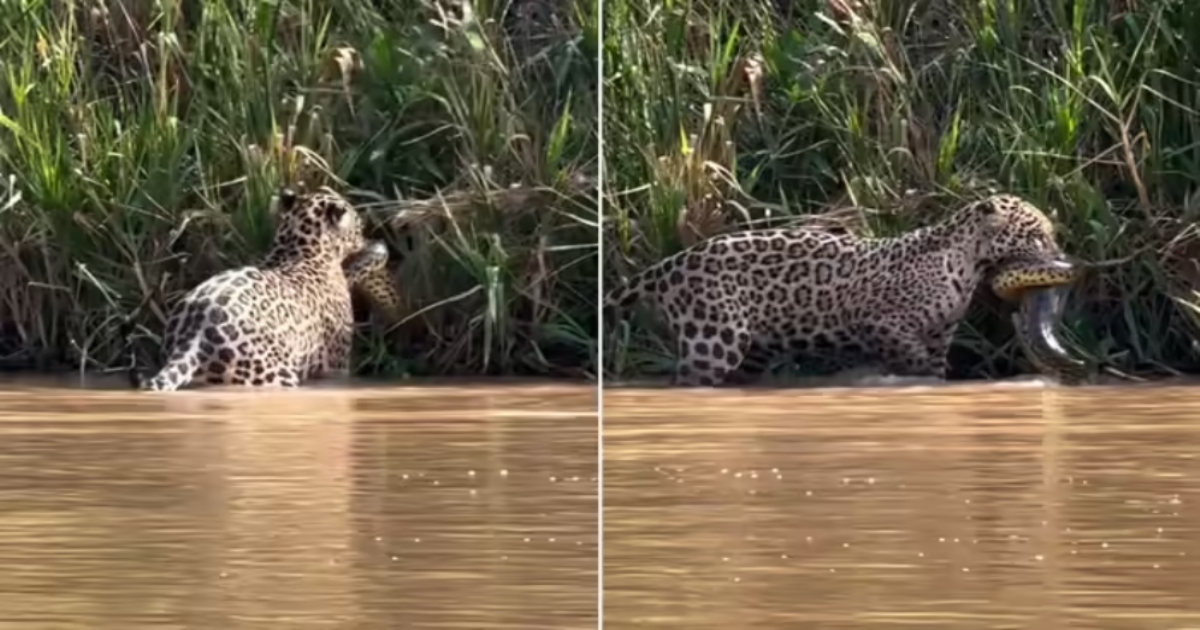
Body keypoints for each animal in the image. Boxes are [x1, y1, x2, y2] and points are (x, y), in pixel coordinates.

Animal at [126, 187, 394, 391]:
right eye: (359, 227)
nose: (376, 240)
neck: (298, 248)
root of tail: (194, 336)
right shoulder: (336, 367)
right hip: (274, 376)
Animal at [604, 194, 1070, 386]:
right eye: (1036, 235)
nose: (1062, 258)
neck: (968, 262)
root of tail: (671, 264)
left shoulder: (940, 336)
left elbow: (935, 366)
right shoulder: (881, 324)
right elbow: (913, 359)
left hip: (754, 348)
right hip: (713, 340)